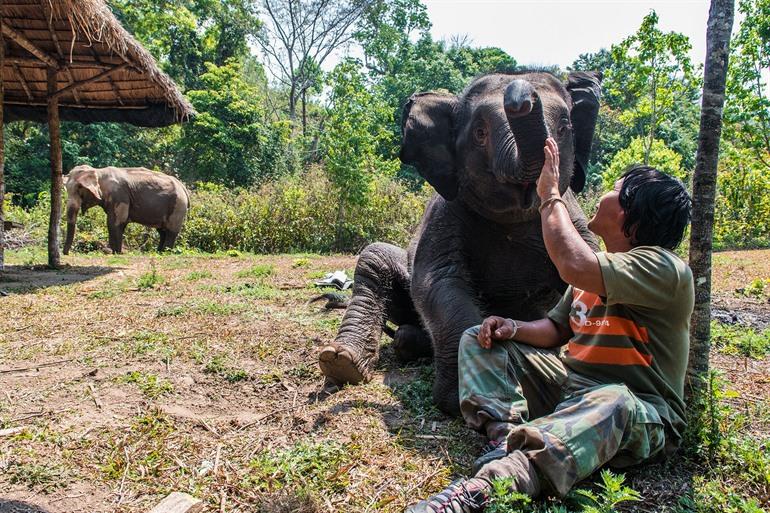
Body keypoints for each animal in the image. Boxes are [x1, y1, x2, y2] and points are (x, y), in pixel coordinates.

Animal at [318, 70, 602, 415]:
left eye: (564, 128)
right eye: (480, 133)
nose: (519, 93)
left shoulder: (576, 220)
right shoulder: (446, 214)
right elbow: (437, 283)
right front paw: (461, 396)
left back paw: (406, 342)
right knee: (374, 258)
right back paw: (343, 361)